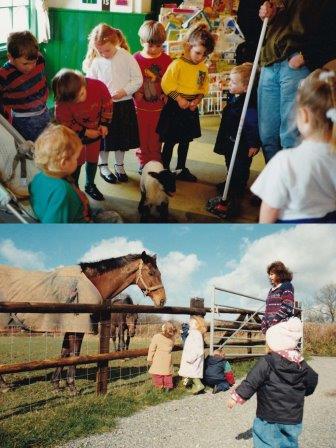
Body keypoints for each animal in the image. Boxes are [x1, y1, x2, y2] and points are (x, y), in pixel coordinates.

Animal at [0, 252, 165, 396]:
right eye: (151, 273)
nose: (162, 300)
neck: (90, 284)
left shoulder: (71, 327)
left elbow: (64, 353)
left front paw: (56, 385)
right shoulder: (77, 328)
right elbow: (75, 354)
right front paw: (71, 387)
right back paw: (4, 386)